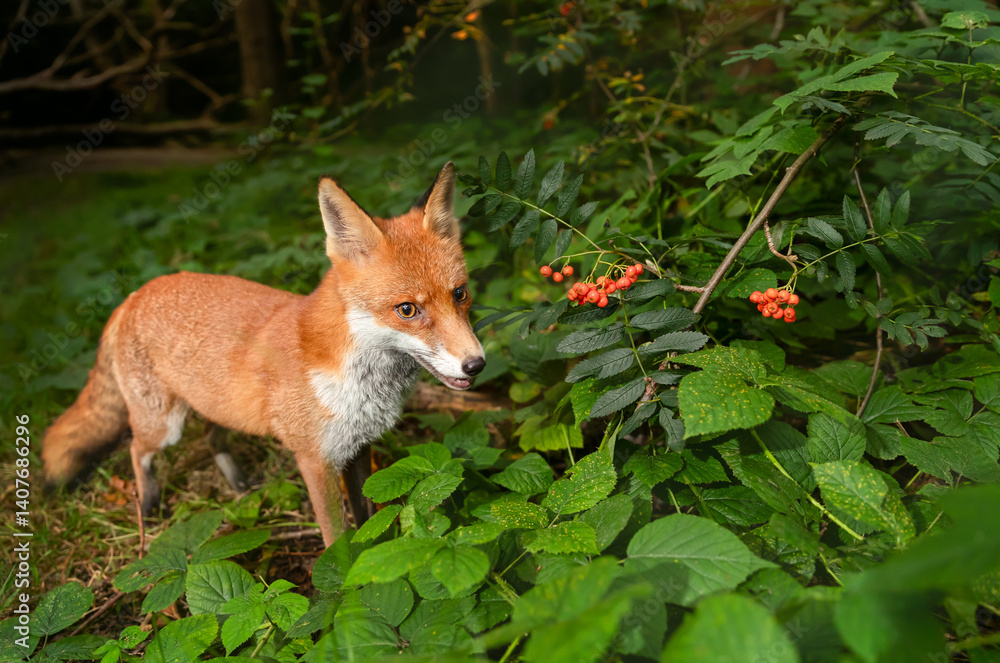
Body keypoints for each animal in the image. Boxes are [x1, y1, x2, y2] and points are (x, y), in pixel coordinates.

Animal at [41, 162, 485, 545]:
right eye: (407, 310)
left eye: (460, 294)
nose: (476, 364)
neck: (356, 379)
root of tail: (133, 295)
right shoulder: (315, 459)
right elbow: (336, 538)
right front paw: (338, 584)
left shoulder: (359, 448)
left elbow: (365, 522)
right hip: (163, 425)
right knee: (136, 449)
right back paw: (148, 506)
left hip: (214, 403)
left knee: (211, 435)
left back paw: (237, 484)